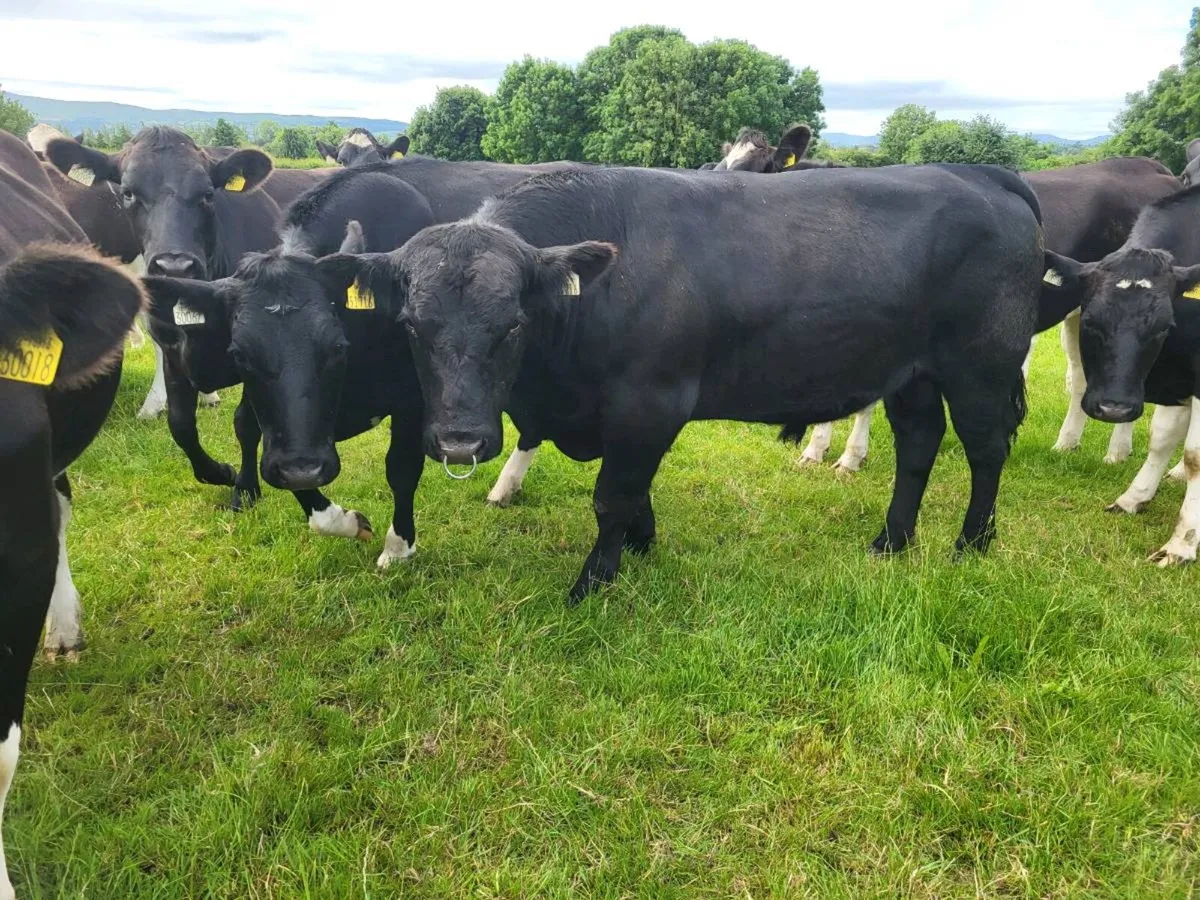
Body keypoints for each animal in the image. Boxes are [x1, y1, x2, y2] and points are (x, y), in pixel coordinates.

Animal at [44, 127, 282, 492]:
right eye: (127, 193)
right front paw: (218, 472)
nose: (175, 267)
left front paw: (244, 488)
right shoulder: (173, 349)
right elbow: (180, 425)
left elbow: (246, 422)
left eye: (208, 193)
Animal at [142, 166, 436, 561]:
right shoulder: (286, 437)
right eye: (239, 354)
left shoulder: (411, 397)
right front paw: (346, 521)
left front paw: (398, 545)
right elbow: (281, 464)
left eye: (338, 346)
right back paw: (244, 490)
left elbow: (402, 468)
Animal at [321, 164, 1048, 602]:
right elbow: (632, 492)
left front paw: (594, 581)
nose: (460, 442)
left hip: (980, 364)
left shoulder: (650, 402)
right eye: (412, 325)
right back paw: (891, 541)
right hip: (911, 373)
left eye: (513, 323)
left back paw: (972, 542)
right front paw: (642, 546)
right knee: (919, 444)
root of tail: (976, 171)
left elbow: (612, 496)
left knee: (985, 448)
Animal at [1045, 185, 1200, 565]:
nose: (1113, 409)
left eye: (1163, 326)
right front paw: (1135, 497)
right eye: (1090, 321)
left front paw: (1182, 543)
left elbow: (1196, 456)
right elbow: (1163, 437)